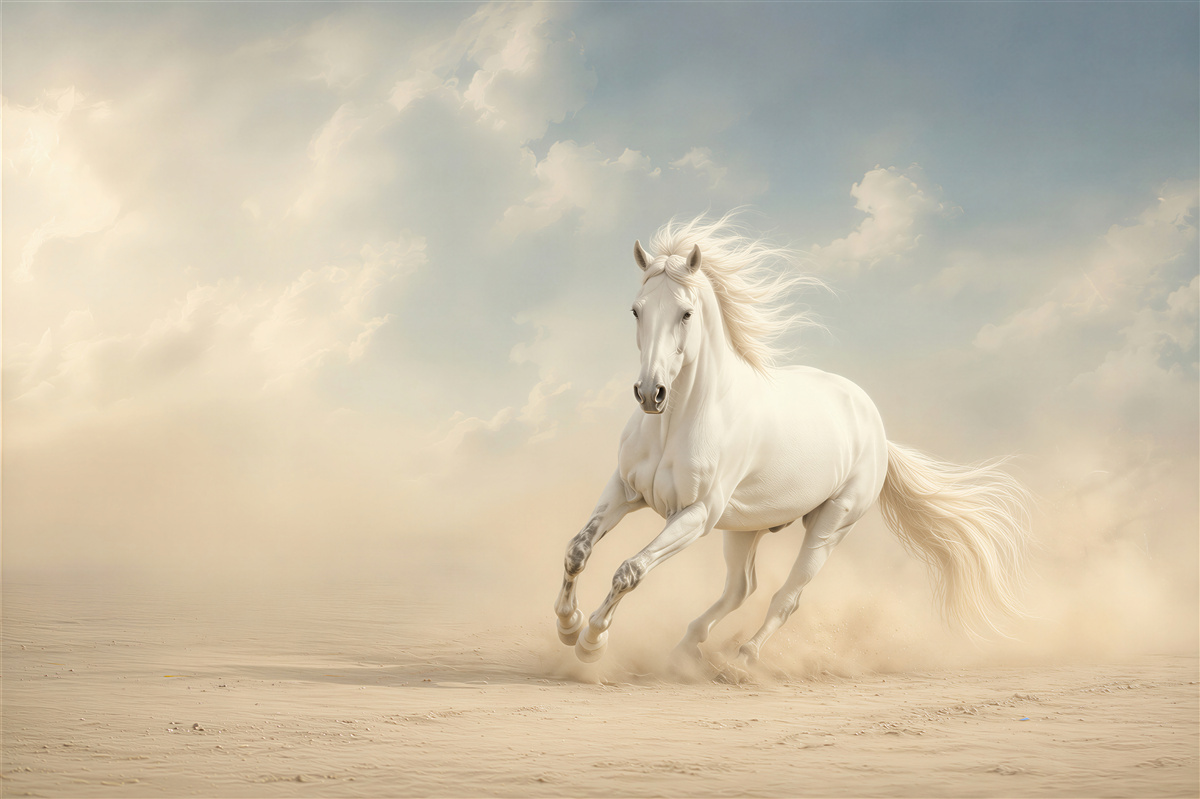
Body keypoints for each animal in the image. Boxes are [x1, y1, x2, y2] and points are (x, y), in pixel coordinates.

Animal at [552, 213, 1032, 669]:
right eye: (637, 310)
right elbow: (578, 550)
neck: (676, 424)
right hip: (745, 527)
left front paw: (591, 642)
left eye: (686, 313)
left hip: (830, 527)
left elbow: (630, 570)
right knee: (740, 588)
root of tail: (877, 431)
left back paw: (742, 659)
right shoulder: (625, 489)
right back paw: (686, 648)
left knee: (786, 597)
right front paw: (567, 625)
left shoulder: (696, 514)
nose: (651, 393)